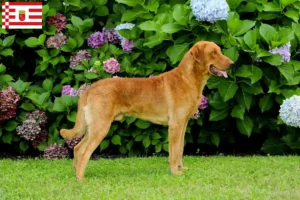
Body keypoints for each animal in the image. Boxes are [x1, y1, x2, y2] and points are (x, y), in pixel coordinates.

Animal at [60, 40, 234, 180]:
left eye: (219, 50)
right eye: (213, 52)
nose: (232, 63)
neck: (189, 79)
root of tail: (90, 89)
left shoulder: (183, 124)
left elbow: (180, 149)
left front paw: (181, 168)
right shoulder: (175, 125)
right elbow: (174, 152)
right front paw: (175, 172)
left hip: (94, 126)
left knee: (77, 148)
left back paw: (76, 173)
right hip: (101, 126)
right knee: (85, 152)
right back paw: (81, 179)